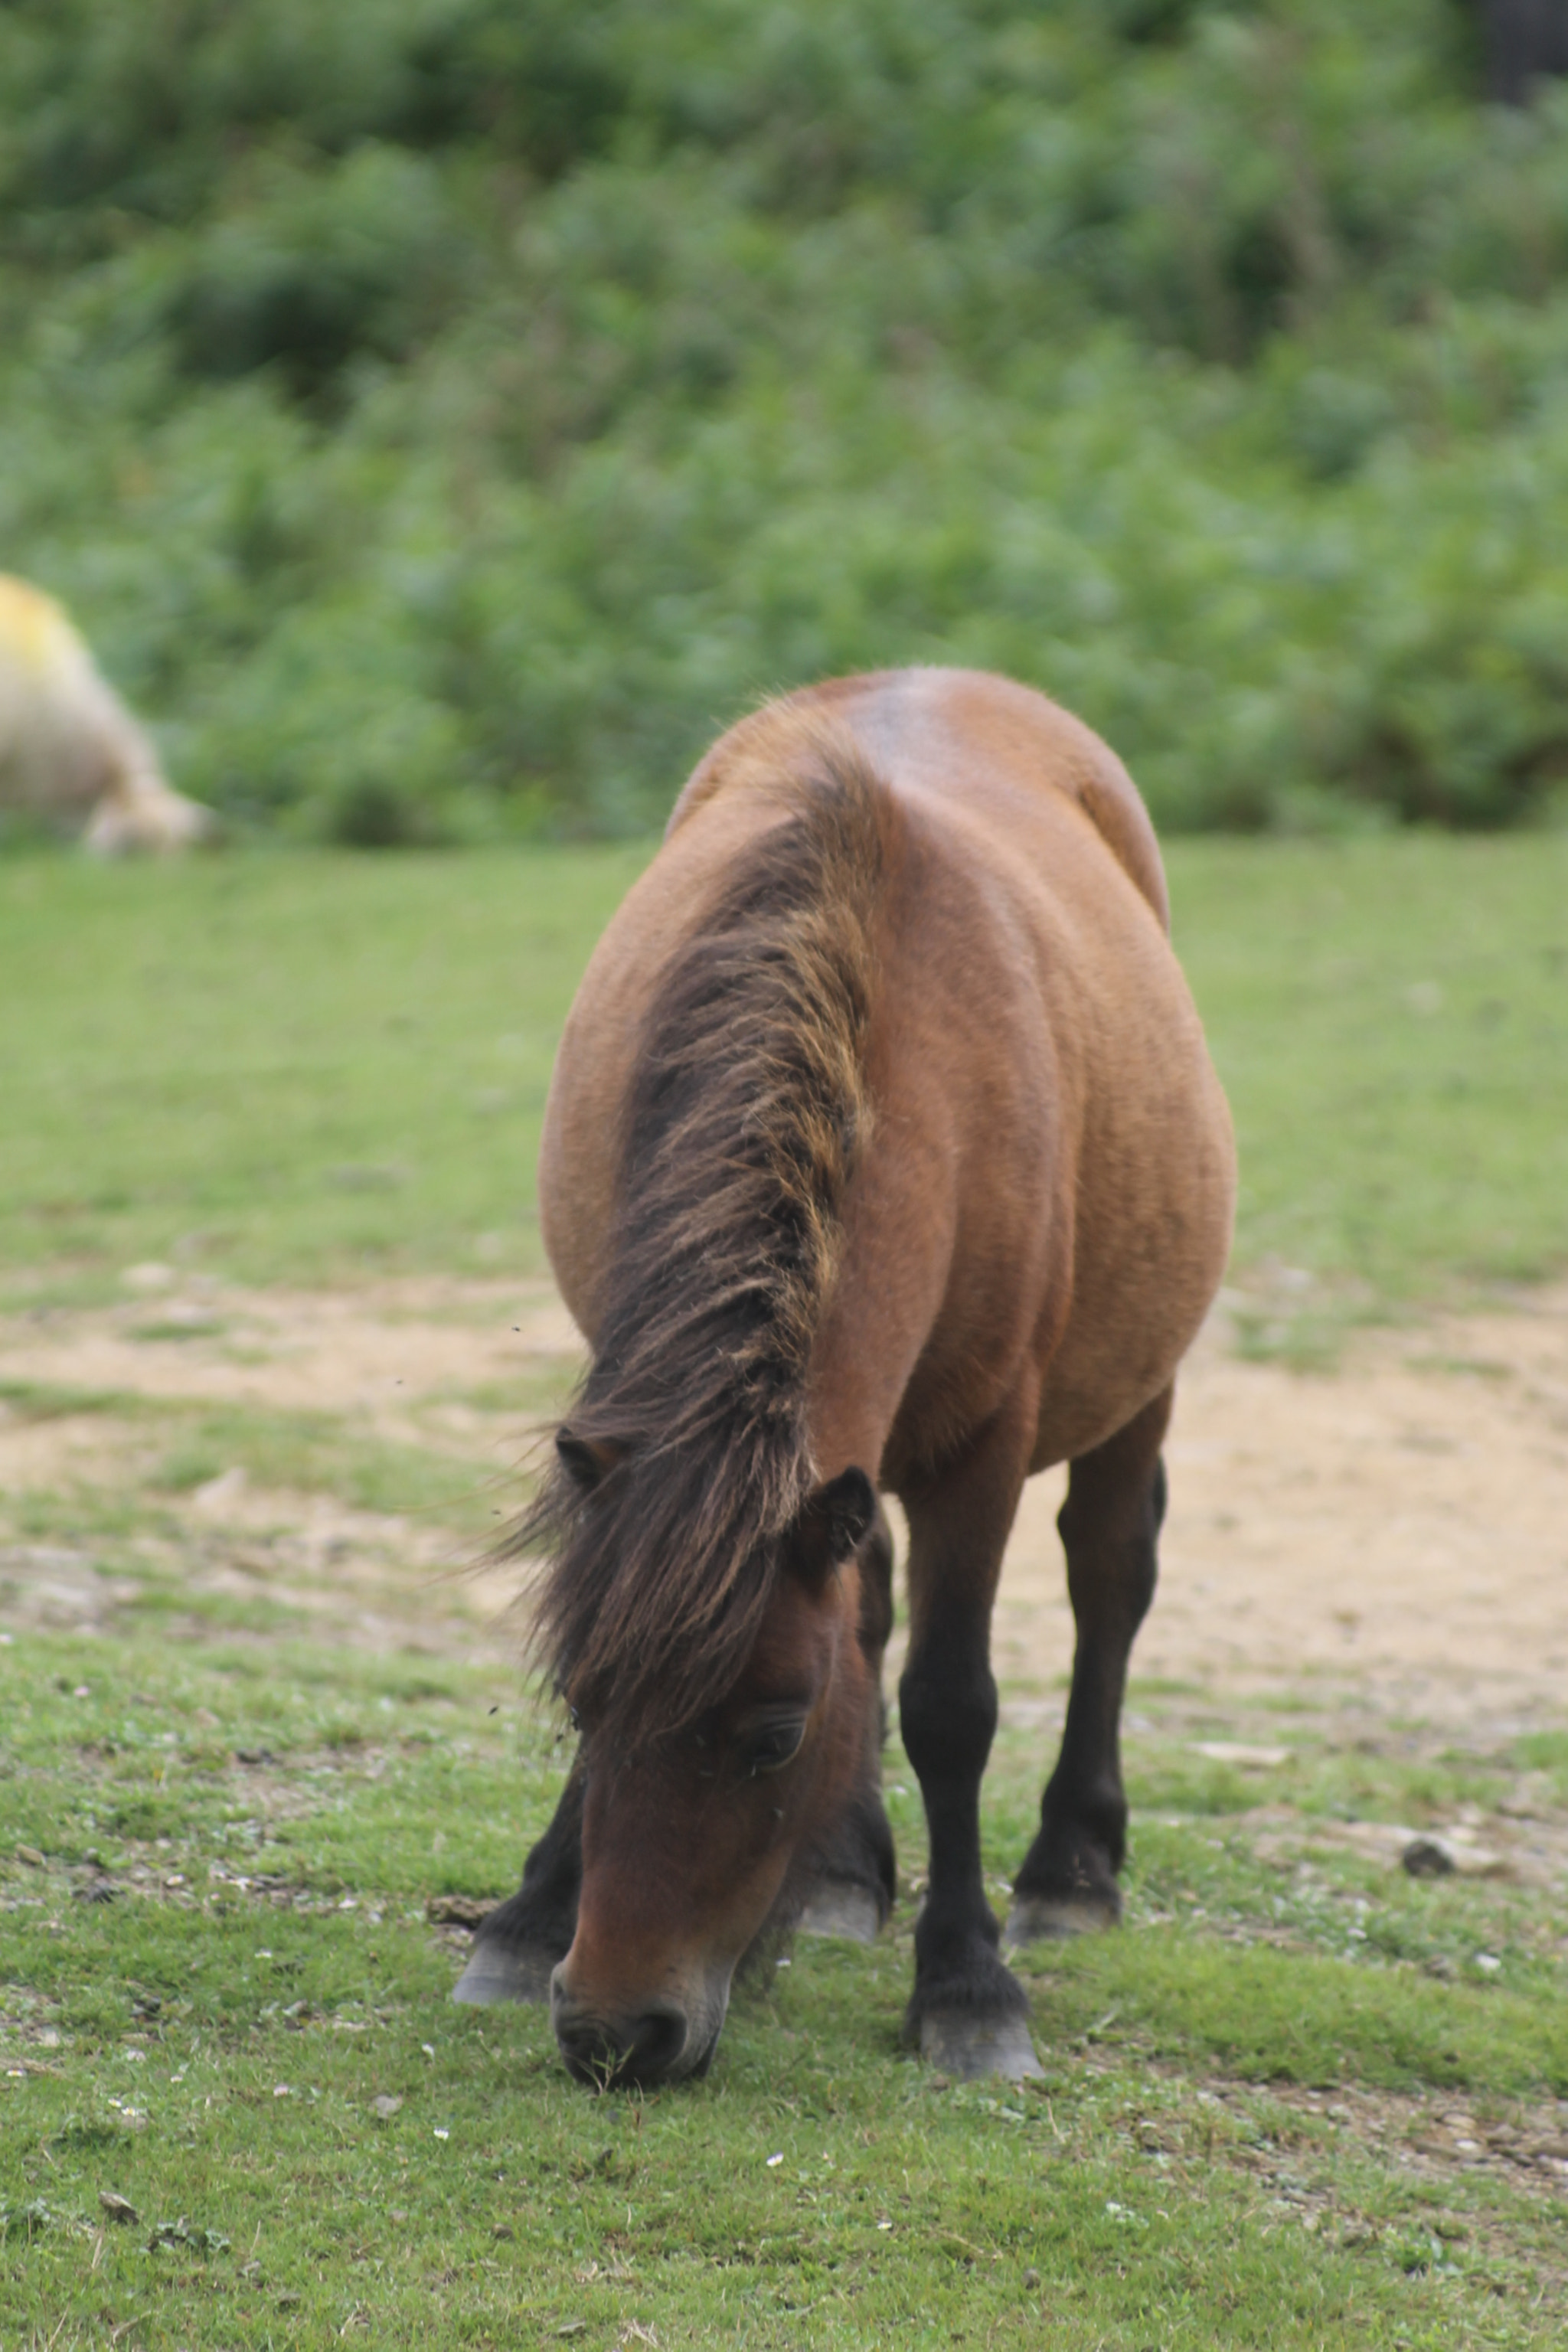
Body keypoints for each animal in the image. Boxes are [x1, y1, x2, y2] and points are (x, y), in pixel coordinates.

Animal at [453, 672, 1241, 2088]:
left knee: (1109, 1571)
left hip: (1135, 1380)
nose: (616, 2031)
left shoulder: (983, 1447)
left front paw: (966, 1989)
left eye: (773, 1731)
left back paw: (1070, 1870)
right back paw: (840, 1873)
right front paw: (530, 1909)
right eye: (582, 1701)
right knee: (866, 1594)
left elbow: (950, 1704)